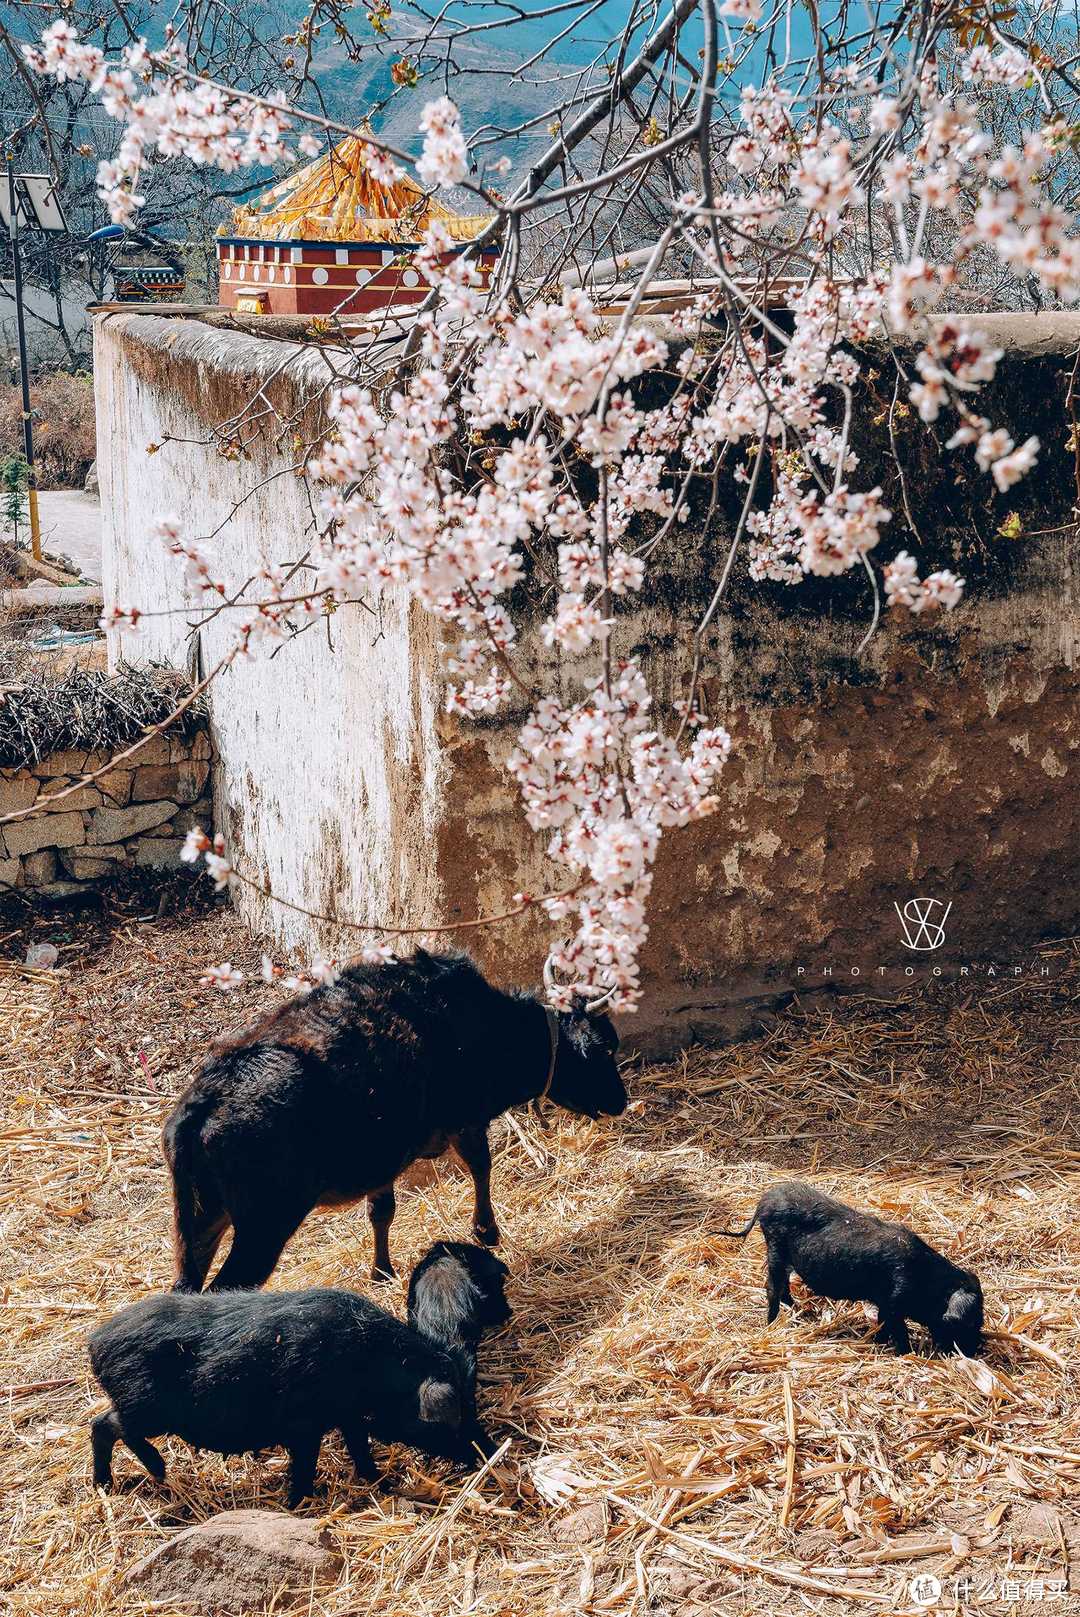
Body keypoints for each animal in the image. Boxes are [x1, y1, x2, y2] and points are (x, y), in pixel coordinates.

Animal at [164, 944, 627, 1287]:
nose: (620, 1102)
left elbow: (381, 1211)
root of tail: (202, 1103)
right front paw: (487, 1232)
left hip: (199, 1224)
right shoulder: (465, 1121)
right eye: (603, 1048)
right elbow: (481, 1166)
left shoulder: (383, 1158)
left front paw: (381, 1271)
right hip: (264, 1227)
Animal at [721, 1183, 982, 1358]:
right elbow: (898, 1329)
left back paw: (803, 1314)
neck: (928, 1281)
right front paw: (905, 1353)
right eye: (968, 1322)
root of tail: (764, 1200)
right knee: (772, 1287)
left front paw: (879, 1342)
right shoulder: (895, 1300)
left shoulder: (885, 1302)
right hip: (775, 1248)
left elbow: (882, 1322)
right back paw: (771, 1325)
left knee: (783, 1287)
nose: (975, 1350)